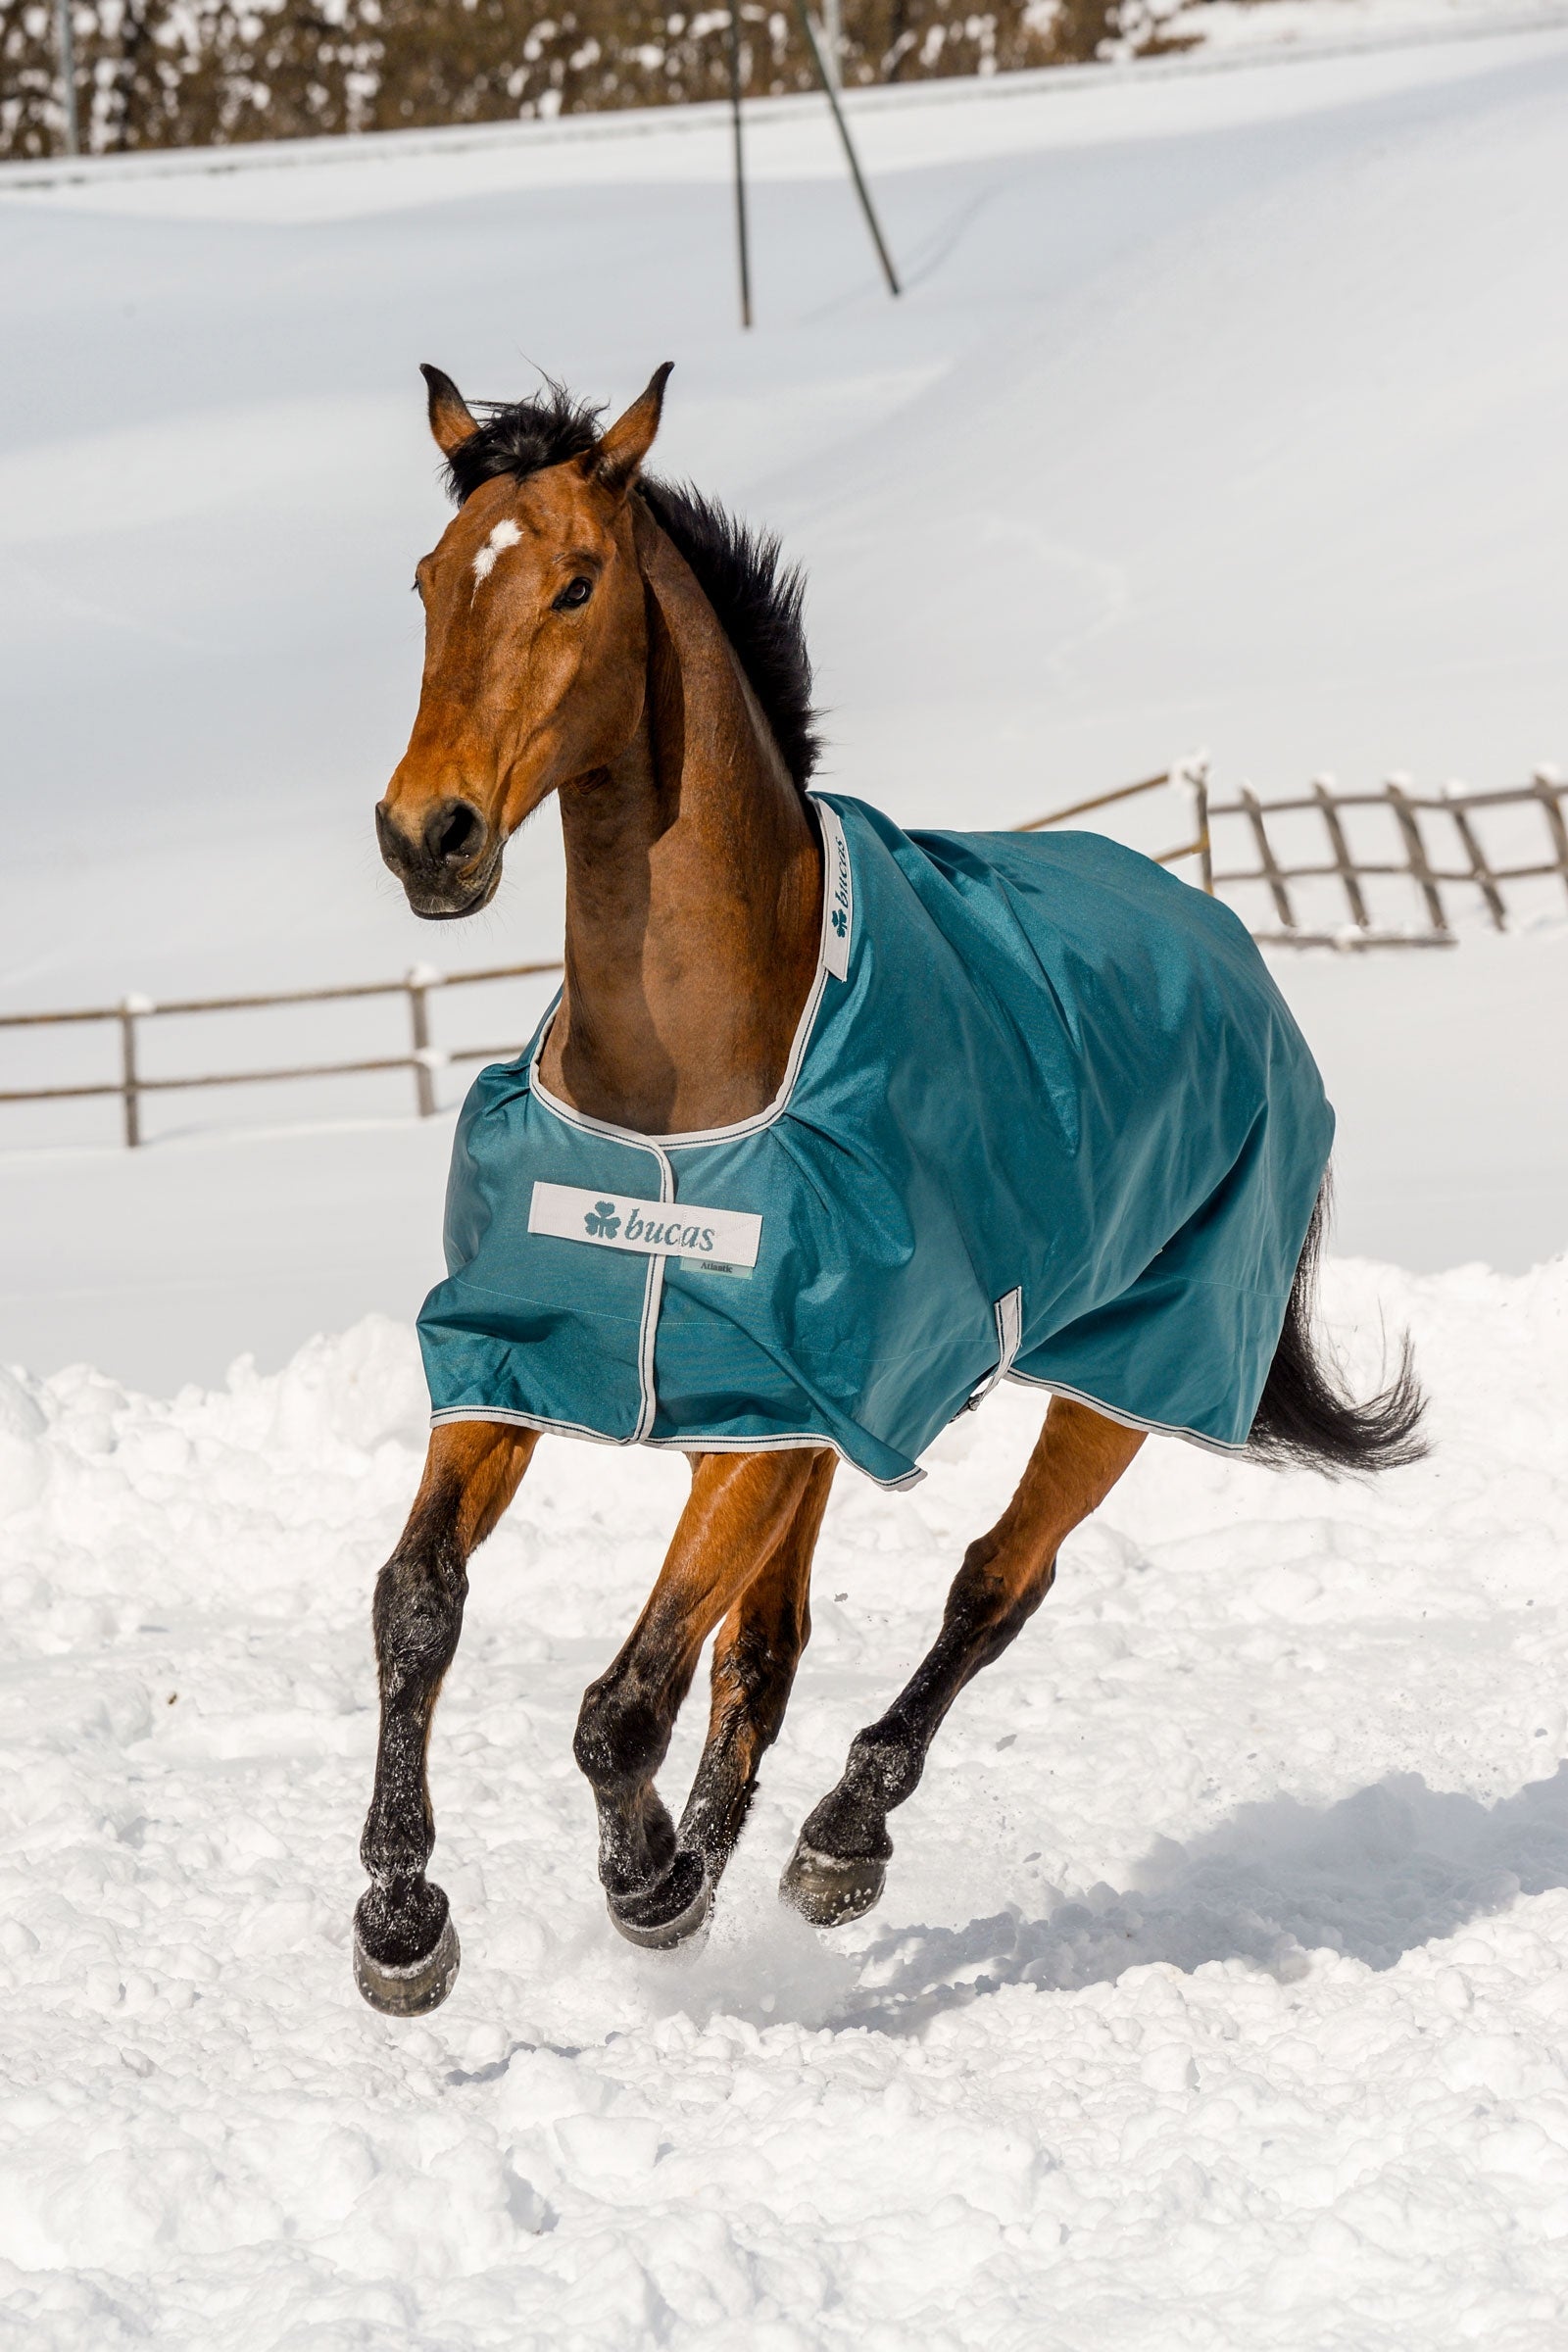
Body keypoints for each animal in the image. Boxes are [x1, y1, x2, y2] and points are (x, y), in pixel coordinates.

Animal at [355, 362, 1425, 2017]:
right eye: (425, 584)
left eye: (576, 584)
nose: (431, 836)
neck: (688, 1091)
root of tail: (1225, 940)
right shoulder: (533, 1371)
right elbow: (422, 1605)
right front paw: (404, 1920)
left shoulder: (788, 1413)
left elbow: (625, 1700)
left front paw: (645, 1884)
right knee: (775, 1646)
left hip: (1128, 1376)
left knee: (993, 1585)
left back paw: (838, 1842)